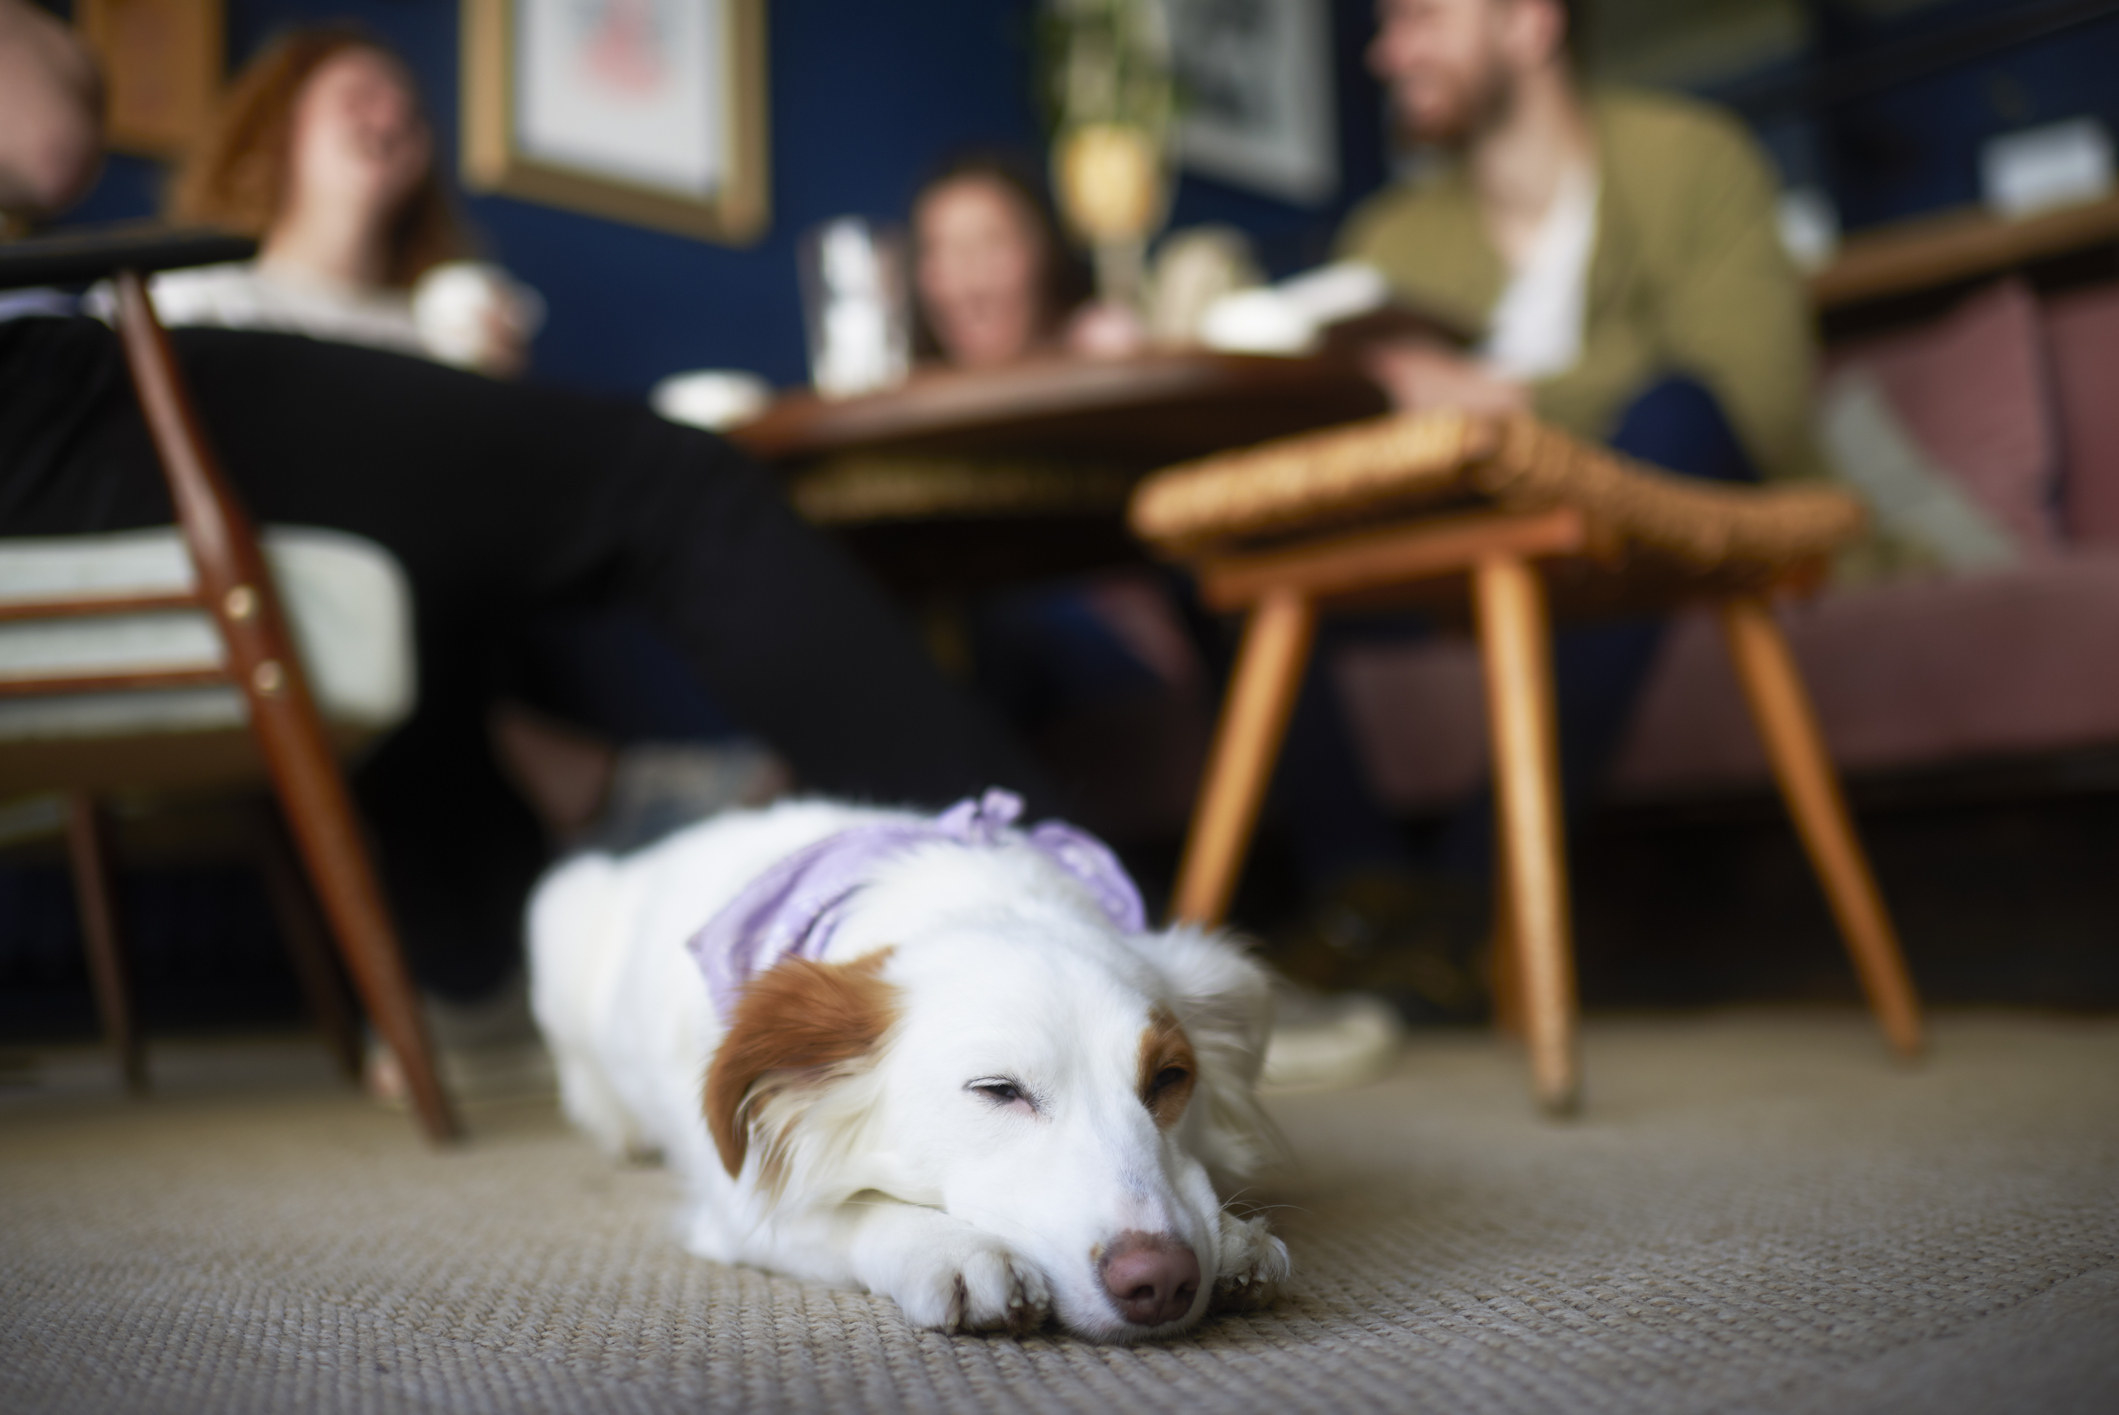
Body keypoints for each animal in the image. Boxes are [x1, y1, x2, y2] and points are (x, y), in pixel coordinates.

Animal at [529, 792, 1288, 1347]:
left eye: (1168, 1079)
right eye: (997, 1090)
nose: (1161, 1281)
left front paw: (1231, 1237)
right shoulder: (740, 1201)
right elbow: (849, 1210)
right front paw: (950, 1249)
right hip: (560, 910)